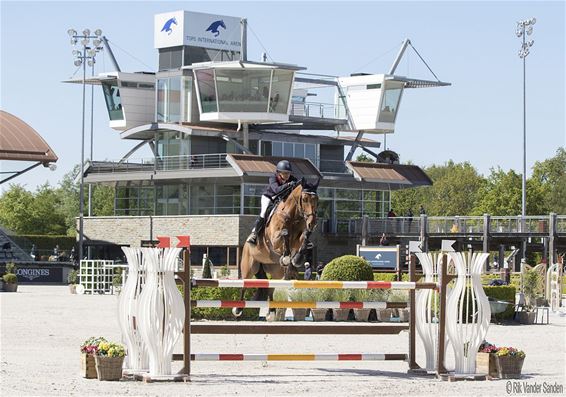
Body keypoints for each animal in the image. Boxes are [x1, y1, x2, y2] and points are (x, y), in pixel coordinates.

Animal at [232, 178, 320, 318]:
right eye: (305, 199)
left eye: (317, 199)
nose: (312, 223)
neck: (292, 216)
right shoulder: (274, 239)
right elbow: (285, 233)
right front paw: (286, 257)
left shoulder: (298, 240)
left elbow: (304, 237)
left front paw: (296, 259)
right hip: (249, 266)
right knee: (244, 284)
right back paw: (238, 309)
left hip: (275, 271)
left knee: (270, 288)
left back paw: (272, 312)